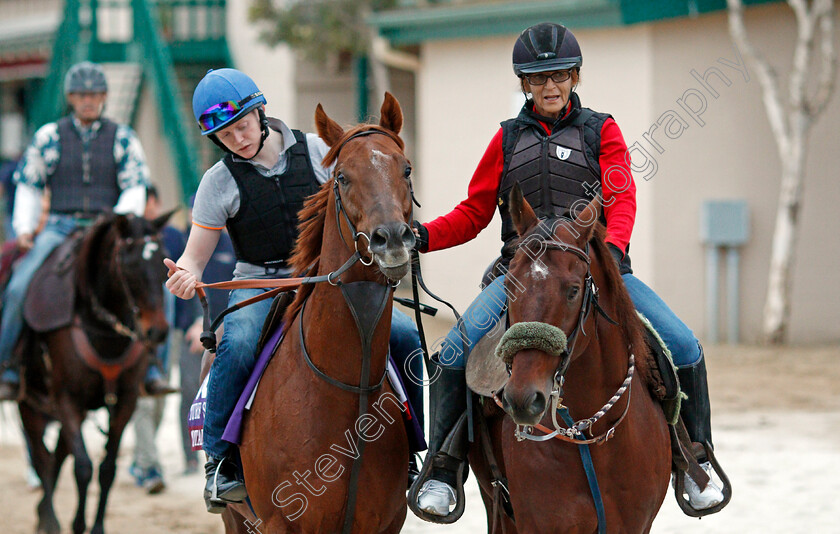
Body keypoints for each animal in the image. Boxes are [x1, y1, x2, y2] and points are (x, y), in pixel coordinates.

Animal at [16, 214, 171, 534]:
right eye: (129, 265)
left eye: (163, 266)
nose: (158, 332)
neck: (103, 331)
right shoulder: (67, 399)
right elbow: (83, 467)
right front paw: (76, 524)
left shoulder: (125, 401)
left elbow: (107, 468)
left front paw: (95, 526)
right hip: (30, 403)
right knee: (41, 457)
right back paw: (49, 519)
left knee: (56, 455)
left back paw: (42, 514)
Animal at [223, 94, 416, 532]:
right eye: (342, 177)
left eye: (406, 168)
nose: (392, 239)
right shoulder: (281, 521)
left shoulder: (387, 521)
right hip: (234, 517)